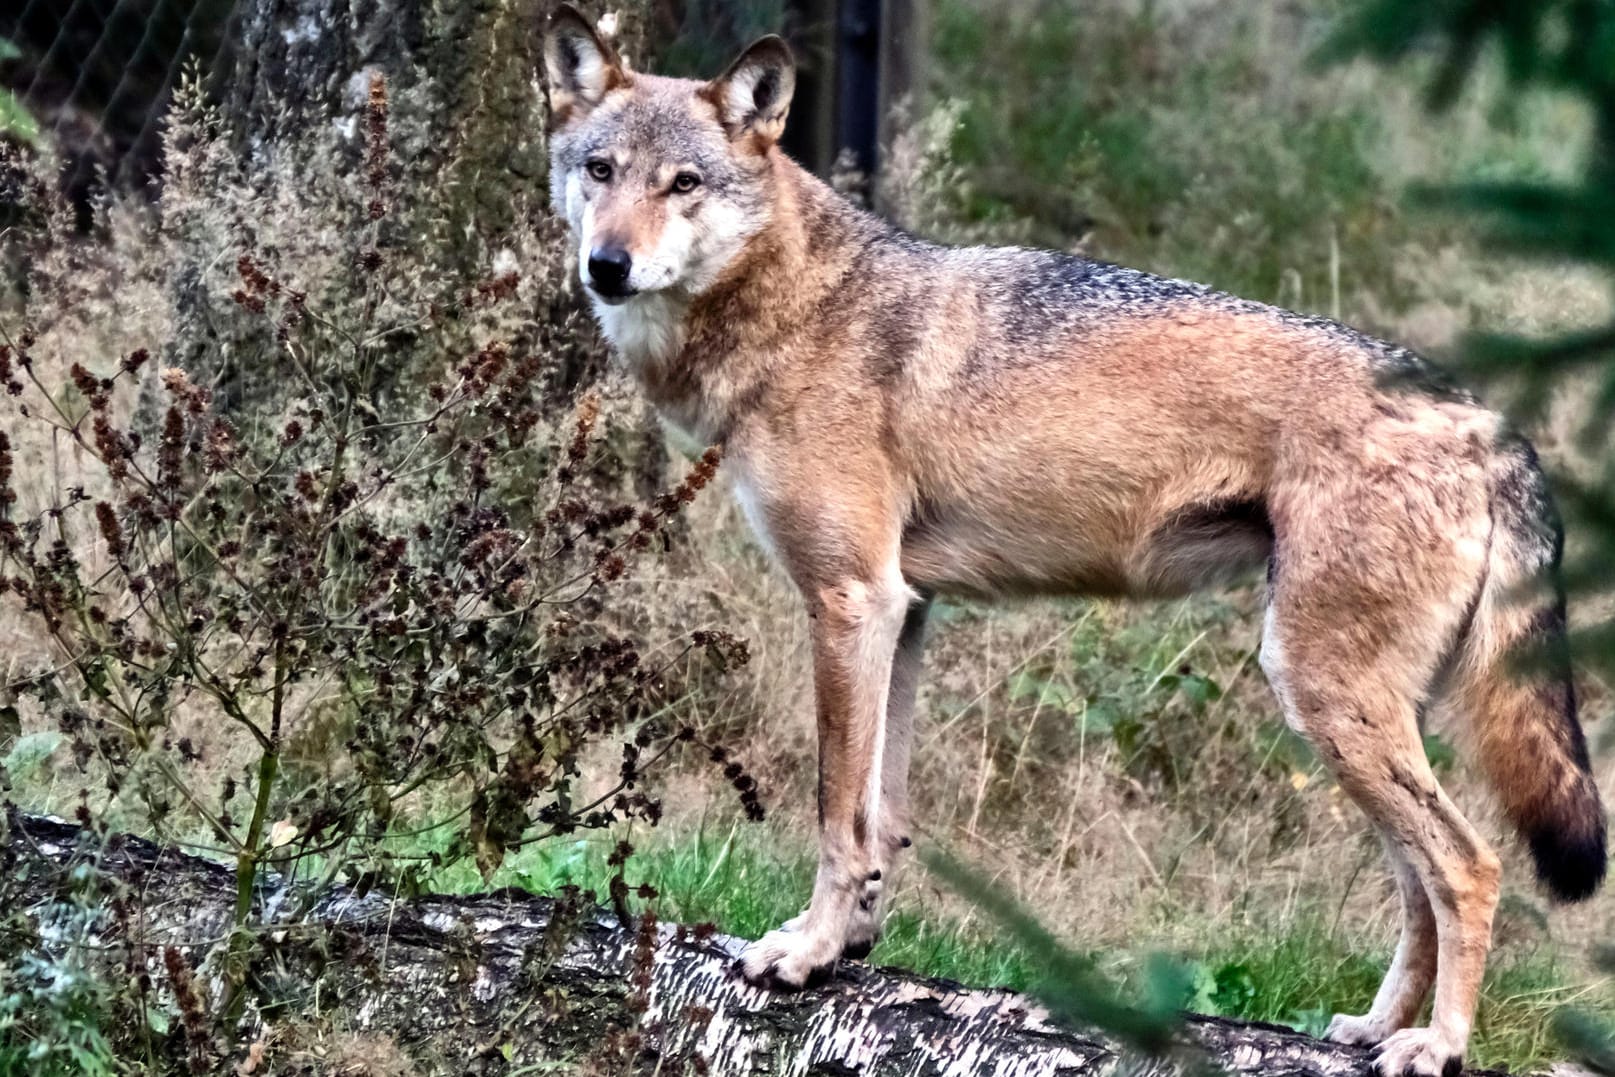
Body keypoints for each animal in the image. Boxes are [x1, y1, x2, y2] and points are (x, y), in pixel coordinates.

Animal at [539, 6, 1602, 1072]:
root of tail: (1488, 419)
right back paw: (1375, 1025)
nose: (606, 265)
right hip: (1351, 715)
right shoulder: (902, 611)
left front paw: (800, 955)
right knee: (1418, 880)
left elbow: (838, 811)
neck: (796, 304)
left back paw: (1437, 1043)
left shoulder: (850, 601)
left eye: (684, 183)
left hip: (1322, 694)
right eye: (600, 169)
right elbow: (883, 817)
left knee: (1469, 865)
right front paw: (848, 943)